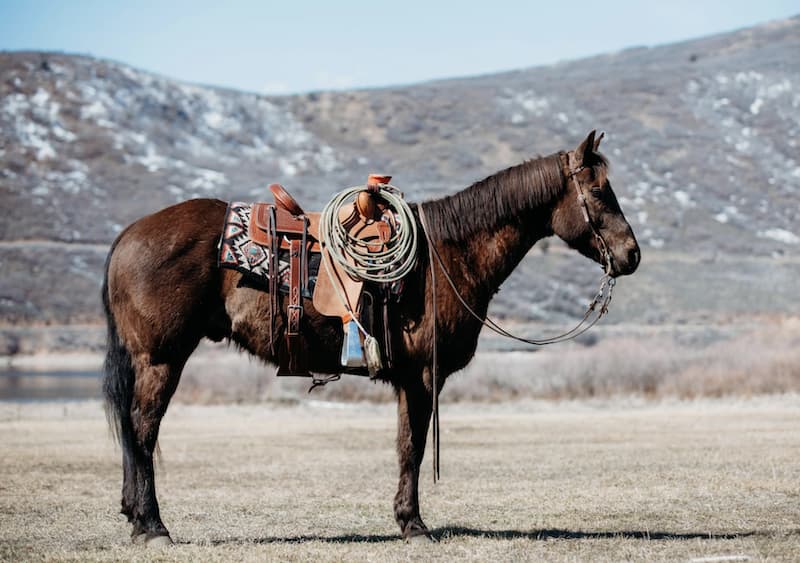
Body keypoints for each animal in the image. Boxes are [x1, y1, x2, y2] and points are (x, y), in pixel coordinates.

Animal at [102, 130, 640, 545]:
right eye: (599, 193)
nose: (631, 254)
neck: (449, 253)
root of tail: (128, 235)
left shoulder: (409, 379)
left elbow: (405, 443)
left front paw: (407, 520)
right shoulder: (422, 377)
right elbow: (413, 446)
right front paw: (414, 525)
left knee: (132, 429)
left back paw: (135, 516)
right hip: (161, 358)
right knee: (143, 429)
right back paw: (153, 526)